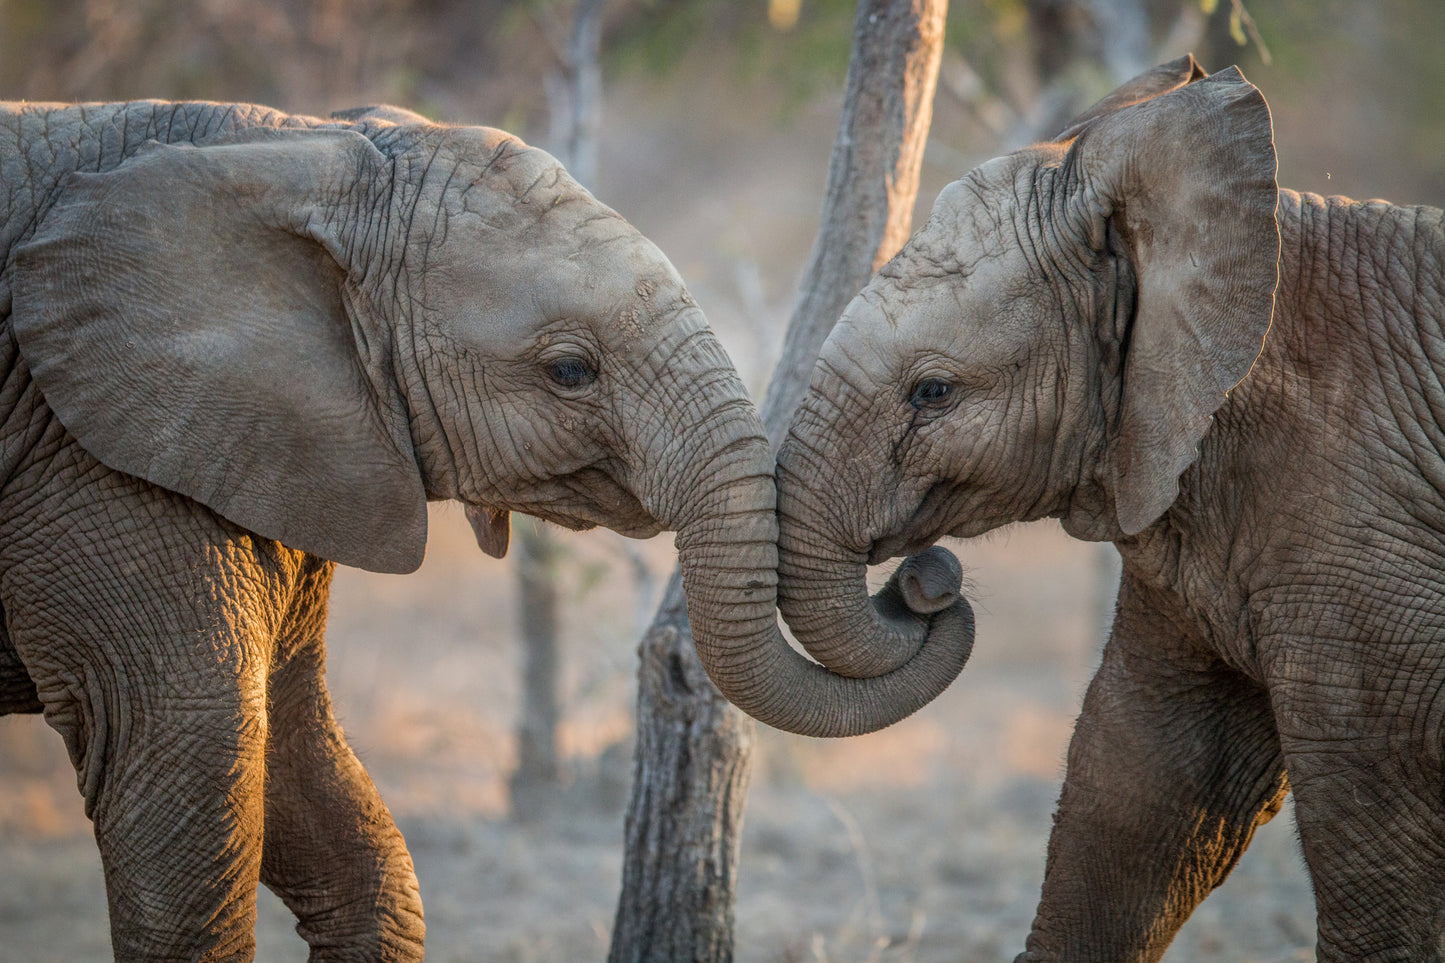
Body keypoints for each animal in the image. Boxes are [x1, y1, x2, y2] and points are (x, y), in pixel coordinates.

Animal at [0, 101, 976, 954]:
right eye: (569, 370)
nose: (926, 578)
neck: (288, 145)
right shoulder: (93, 462)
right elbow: (196, 750)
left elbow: (306, 766)